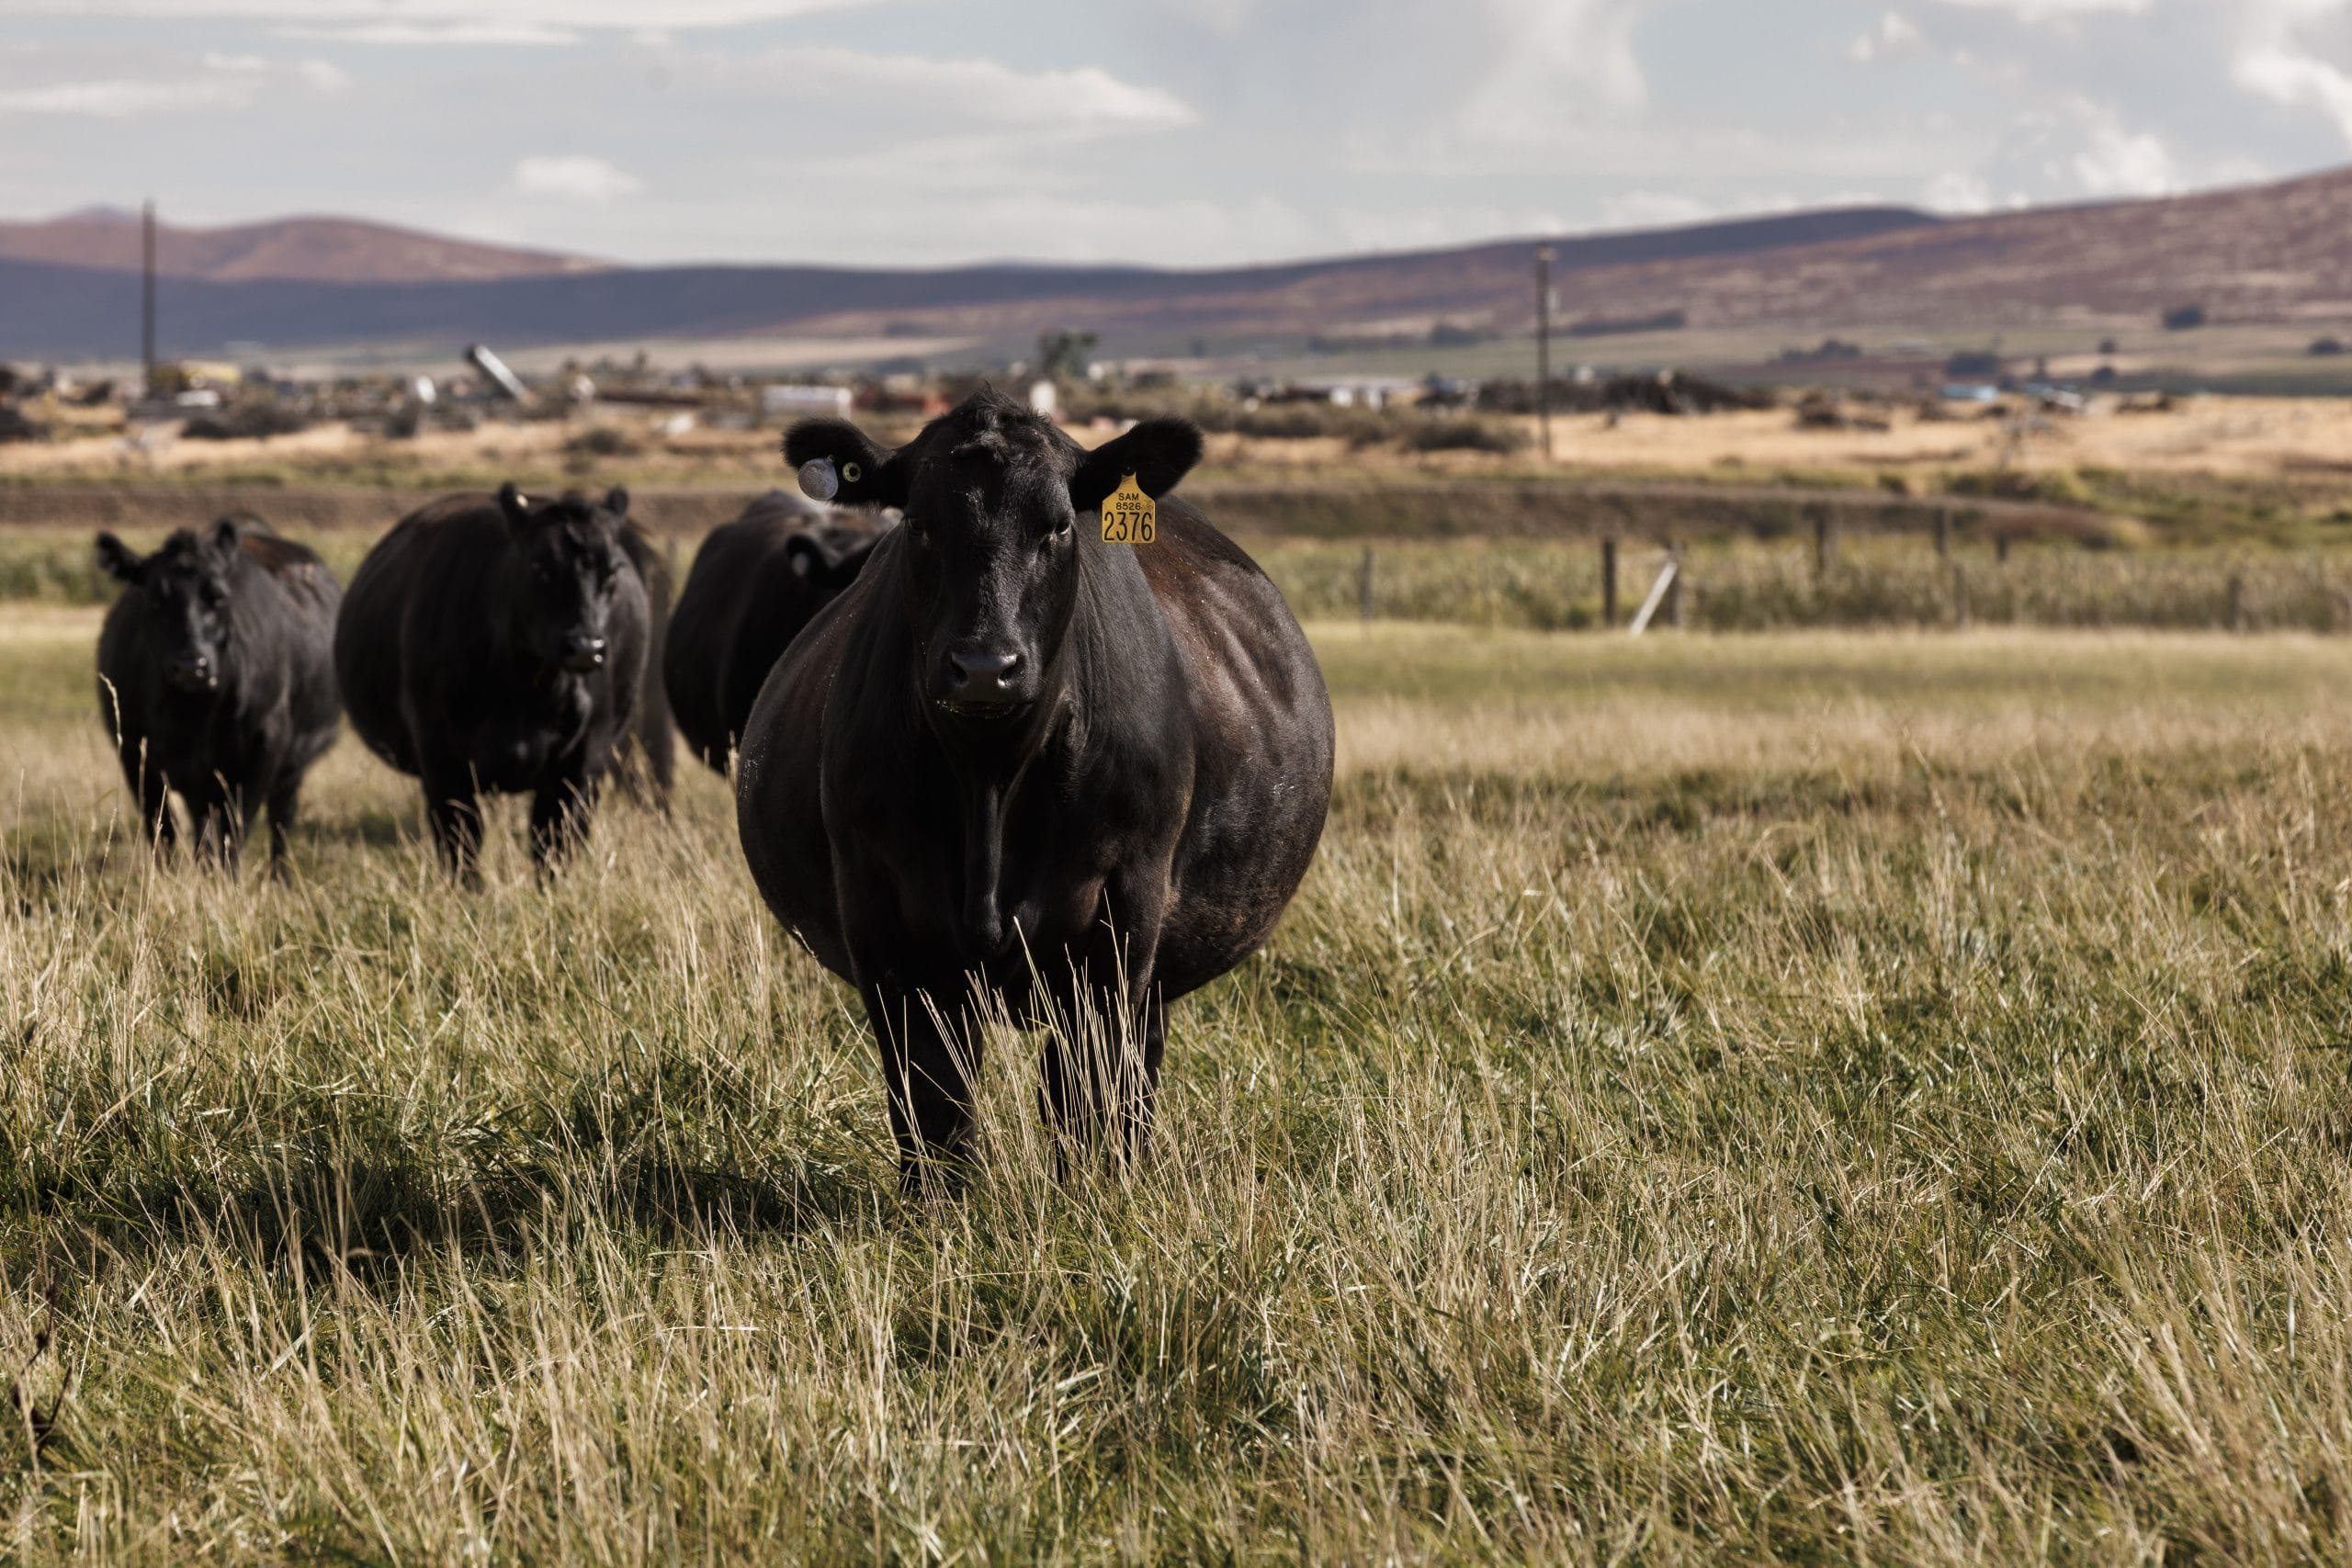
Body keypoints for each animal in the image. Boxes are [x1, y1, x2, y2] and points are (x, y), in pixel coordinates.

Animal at [94, 515, 342, 873]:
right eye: (154, 599)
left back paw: (279, 877)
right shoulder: (132, 750)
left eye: (220, 597)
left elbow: (235, 829)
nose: (191, 666)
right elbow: (162, 831)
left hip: (291, 765)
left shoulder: (264, 747)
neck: (192, 716)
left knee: (280, 819)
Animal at [334, 483, 655, 879]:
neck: (526, 689)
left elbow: (554, 845)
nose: (585, 647)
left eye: (611, 573)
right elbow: (461, 844)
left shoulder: (583, 763)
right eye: (538, 565)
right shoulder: (441, 761)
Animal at [736, 389, 1334, 1184]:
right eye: (918, 523)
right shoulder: (882, 919)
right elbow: (934, 1101)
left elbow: (1088, 1091)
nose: (986, 666)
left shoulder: (1123, 909)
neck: (990, 780)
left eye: (1058, 526)